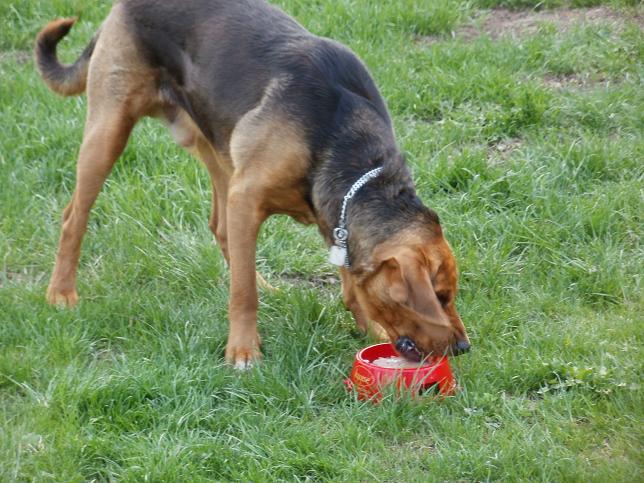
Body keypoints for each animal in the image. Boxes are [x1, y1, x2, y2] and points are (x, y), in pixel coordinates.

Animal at [35, 0, 470, 368]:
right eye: (441, 296)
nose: (464, 347)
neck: (345, 147)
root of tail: (121, 6)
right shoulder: (248, 198)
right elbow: (243, 294)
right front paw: (243, 351)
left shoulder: (328, 218)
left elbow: (347, 285)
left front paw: (369, 326)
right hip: (109, 130)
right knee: (74, 215)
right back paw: (61, 293)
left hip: (220, 154)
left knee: (222, 229)